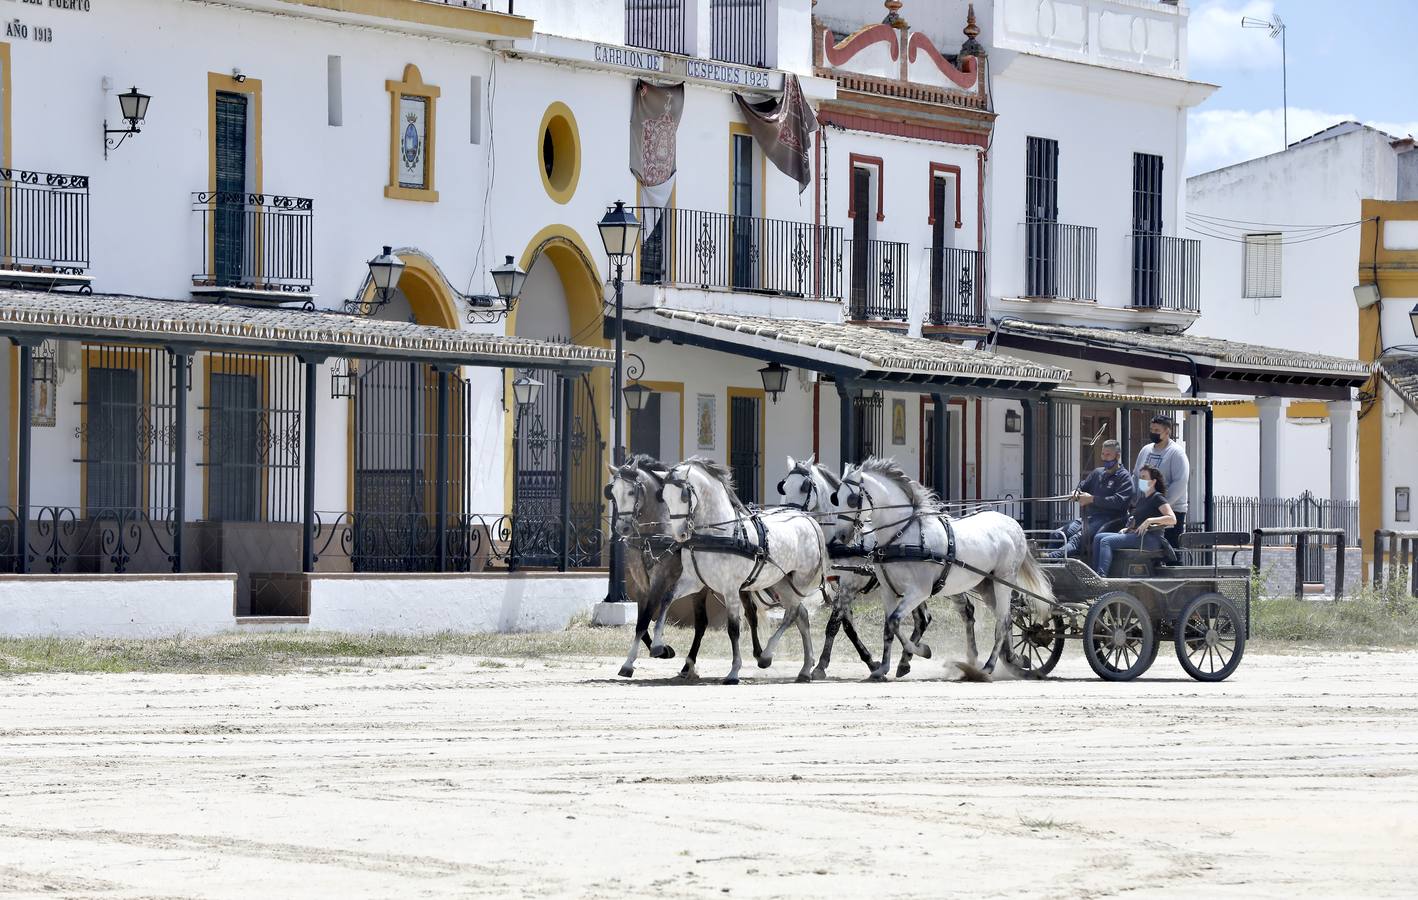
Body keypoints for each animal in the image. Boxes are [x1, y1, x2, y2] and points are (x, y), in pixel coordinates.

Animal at [657, 462, 833, 685]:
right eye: (664, 496)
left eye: (683, 496)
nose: (680, 535)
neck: (718, 534)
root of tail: (808, 520)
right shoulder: (693, 582)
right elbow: (666, 599)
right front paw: (658, 646)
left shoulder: (731, 589)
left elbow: (733, 628)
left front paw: (734, 672)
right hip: (782, 583)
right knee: (801, 615)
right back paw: (805, 668)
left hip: (799, 582)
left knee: (792, 614)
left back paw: (767, 655)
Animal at [833, 462, 1060, 680]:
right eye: (836, 497)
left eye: (852, 500)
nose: (840, 536)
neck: (903, 535)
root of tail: (1014, 525)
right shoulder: (888, 592)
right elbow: (888, 628)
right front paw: (883, 668)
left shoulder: (919, 591)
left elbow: (895, 621)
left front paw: (921, 651)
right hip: (986, 585)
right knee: (1007, 619)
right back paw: (1014, 659)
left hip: (1003, 580)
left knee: (1003, 622)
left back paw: (988, 666)